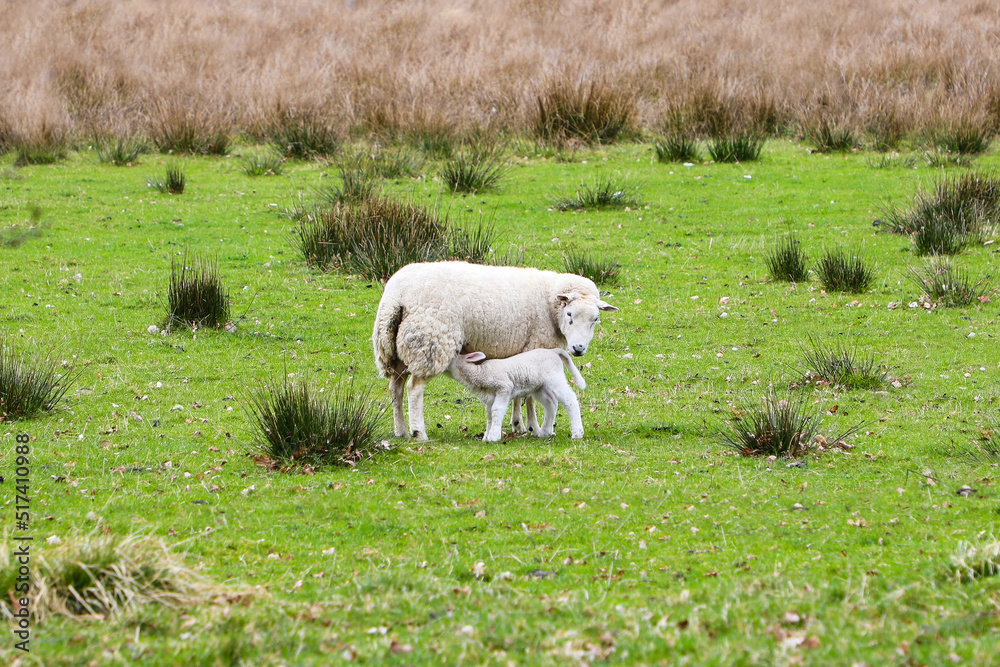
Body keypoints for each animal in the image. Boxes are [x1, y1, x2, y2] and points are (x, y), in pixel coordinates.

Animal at [447, 348, 586, 441]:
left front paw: (493, 437)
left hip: (555, 378)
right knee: (551, 402)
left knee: (570, 400)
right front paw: (487, 435)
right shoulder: (490, 398)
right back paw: (545, 432)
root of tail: (554, 351)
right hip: (539, 386)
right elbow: (490, 415)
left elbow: (497, 410)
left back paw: (577, 433)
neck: (481, 373)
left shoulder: (504, 388)